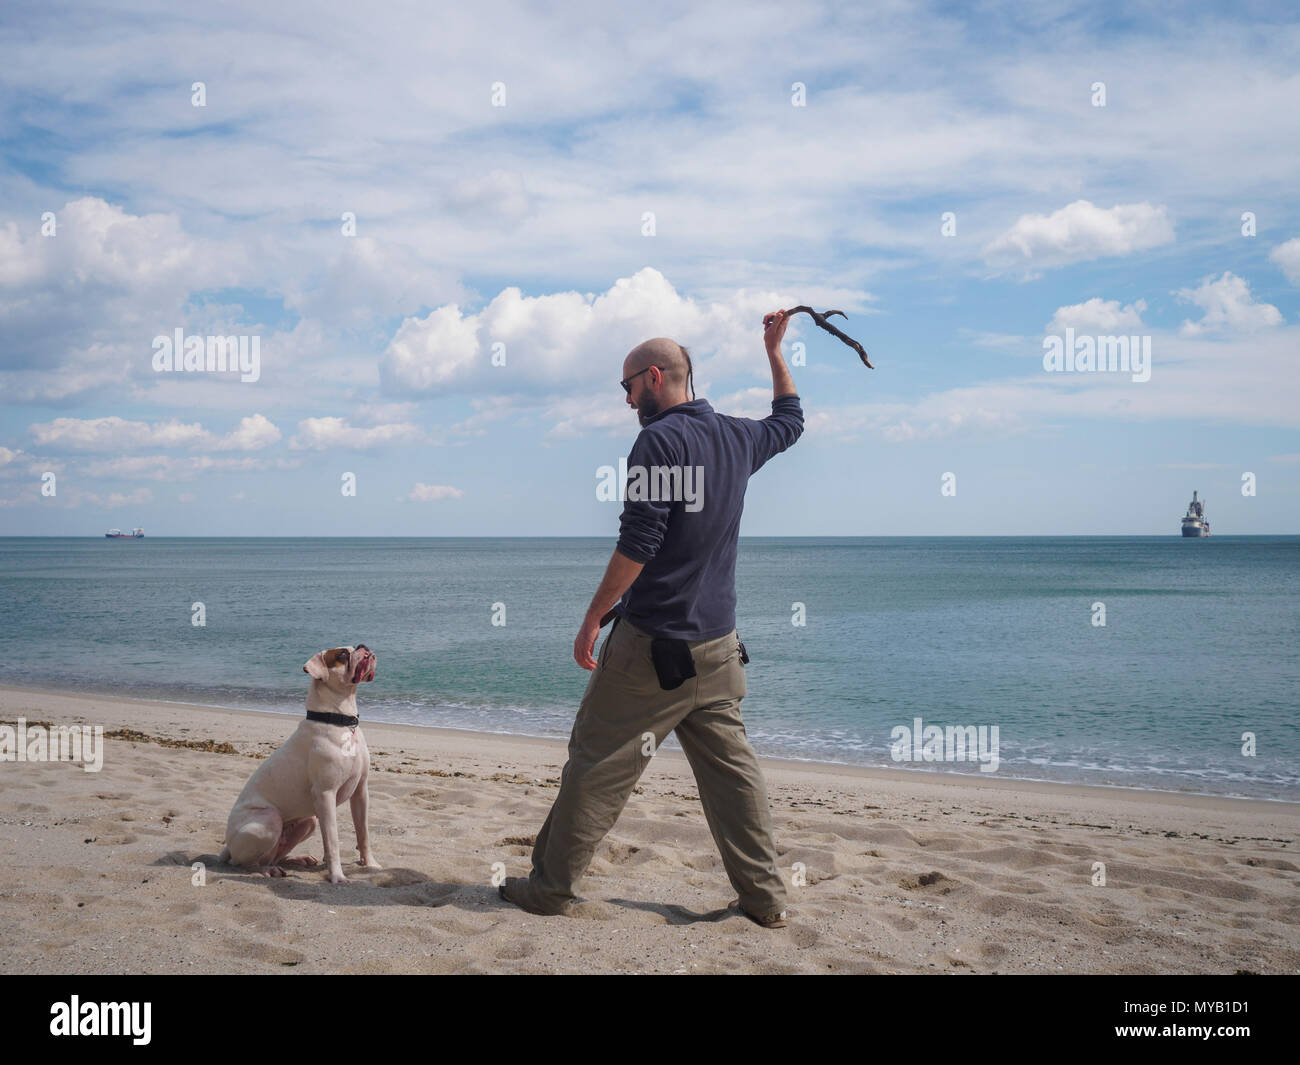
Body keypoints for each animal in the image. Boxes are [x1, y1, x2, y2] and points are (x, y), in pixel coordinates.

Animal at [218, 642, 379, 884]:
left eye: (354, 647)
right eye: (343, 654)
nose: (363, 646)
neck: (341, 721)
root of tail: (228, 845)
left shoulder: (361, 791)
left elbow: (363, 833)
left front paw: (369, 864)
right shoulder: (326, 794)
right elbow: (332, 841)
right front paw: (337, 876)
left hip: (308, 822)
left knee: (275, 856)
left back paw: (297, 860)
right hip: (268, 820)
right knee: (244, 862)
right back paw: (265, 871)